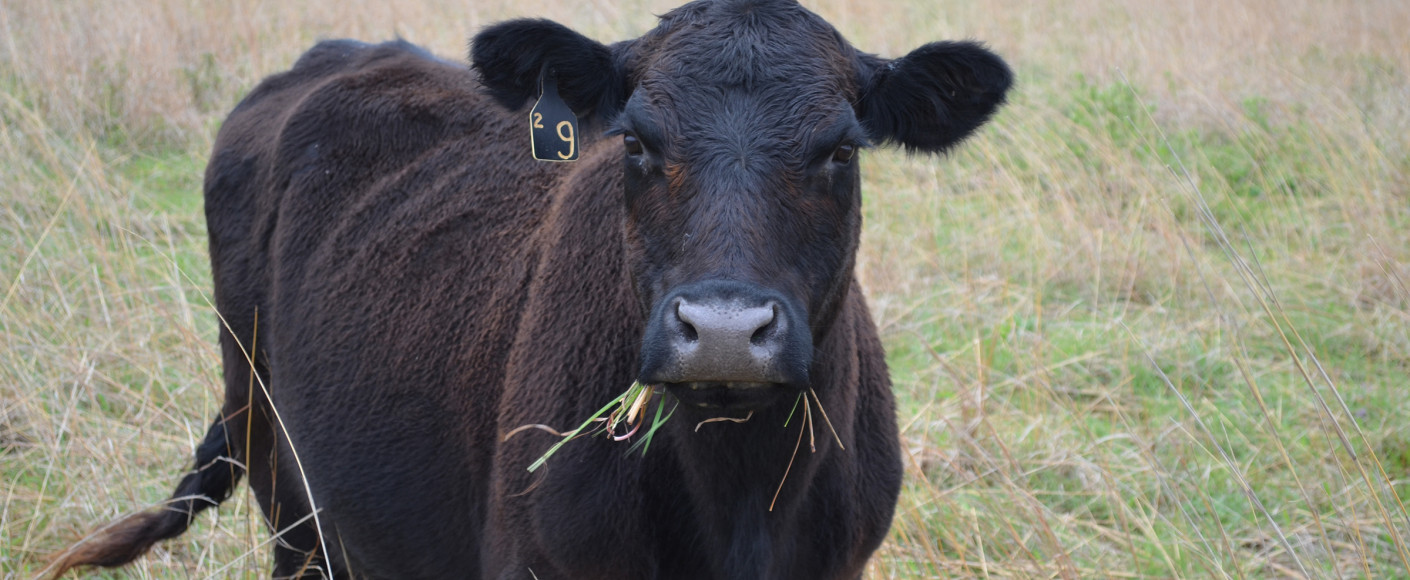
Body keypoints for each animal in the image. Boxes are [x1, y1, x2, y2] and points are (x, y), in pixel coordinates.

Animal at [52, 2, 1003, 578]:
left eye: (840, 148)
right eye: (635, 141)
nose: (726, 332)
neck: (737, 493)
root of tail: (344, 51)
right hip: (280, 476)